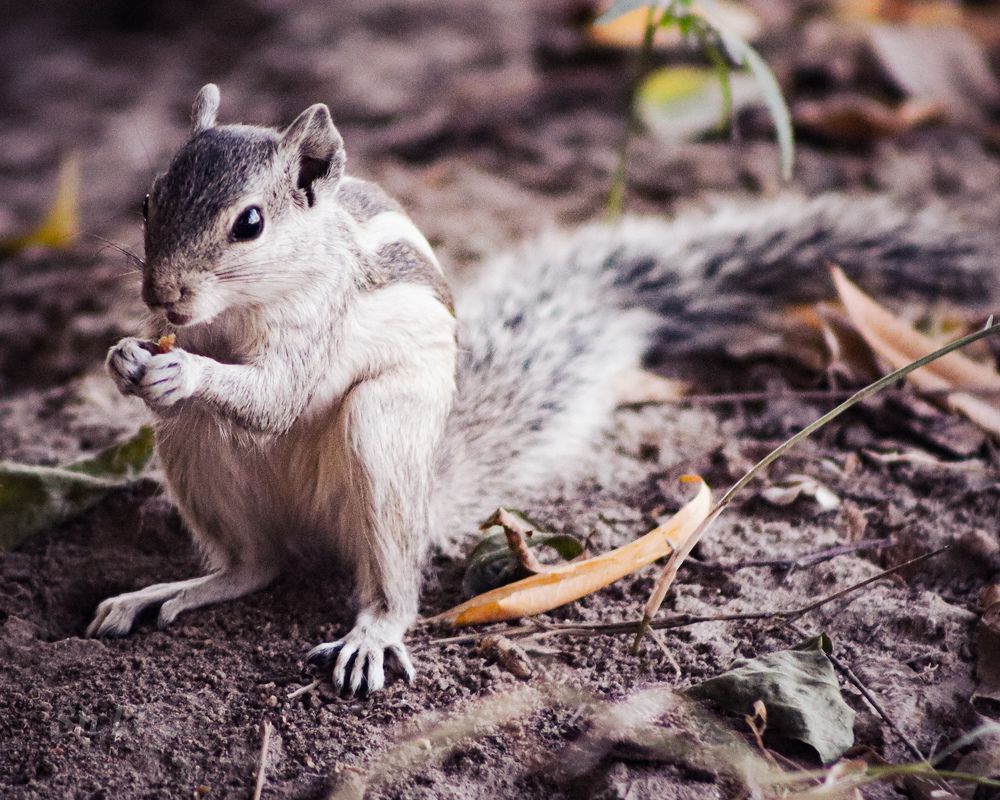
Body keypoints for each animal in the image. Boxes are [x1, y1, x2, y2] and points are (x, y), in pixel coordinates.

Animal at [87, 84, 997, 696]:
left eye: (250, 223)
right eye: (148, 202)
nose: (163, 296)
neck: (241, 314)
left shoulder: (319, 328)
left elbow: (278, 393)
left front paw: (184, 370)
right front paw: (127, 359)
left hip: (382, 439)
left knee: (388, 581)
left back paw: (372, 633)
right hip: (193, 449)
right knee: (254, 564)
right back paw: (175, 589)